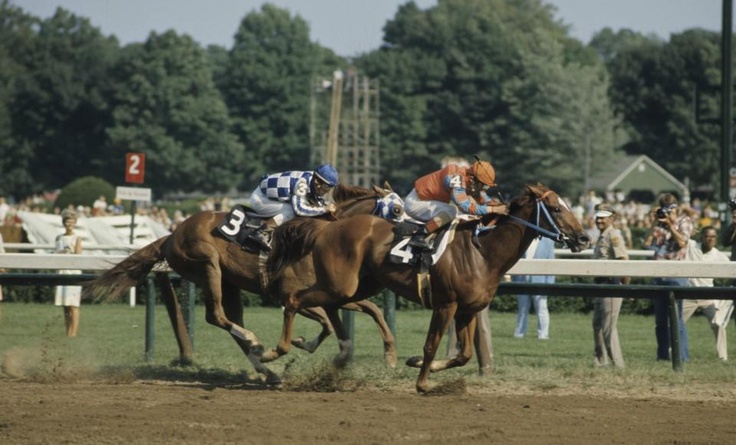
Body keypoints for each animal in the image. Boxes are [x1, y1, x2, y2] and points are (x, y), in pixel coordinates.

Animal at [84, 182, 406, 384]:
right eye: (397, 210)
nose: (412, 235)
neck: (322, 236)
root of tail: (170, 235)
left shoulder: (330, 295)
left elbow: (368, 312)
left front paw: (389, 355)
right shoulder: (294, 294)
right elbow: (327, 323)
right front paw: (301, 344)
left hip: (229, 284)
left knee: (231, 324)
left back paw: (266, 368)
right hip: (208, 266)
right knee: (216, 316)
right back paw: (256, 344)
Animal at [262, 184, 588, 392]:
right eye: (557, 208)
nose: (584, 238)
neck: (483, 252)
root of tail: (328, 225)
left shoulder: (468, 310)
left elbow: (464, 354)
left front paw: (415, 362)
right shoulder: (446, 304)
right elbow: (432, 344)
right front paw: (422, 383)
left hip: (358, 285)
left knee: (328, 305)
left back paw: (331, 353)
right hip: (340, 284)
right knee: (294, 299)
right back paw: (275, 351)